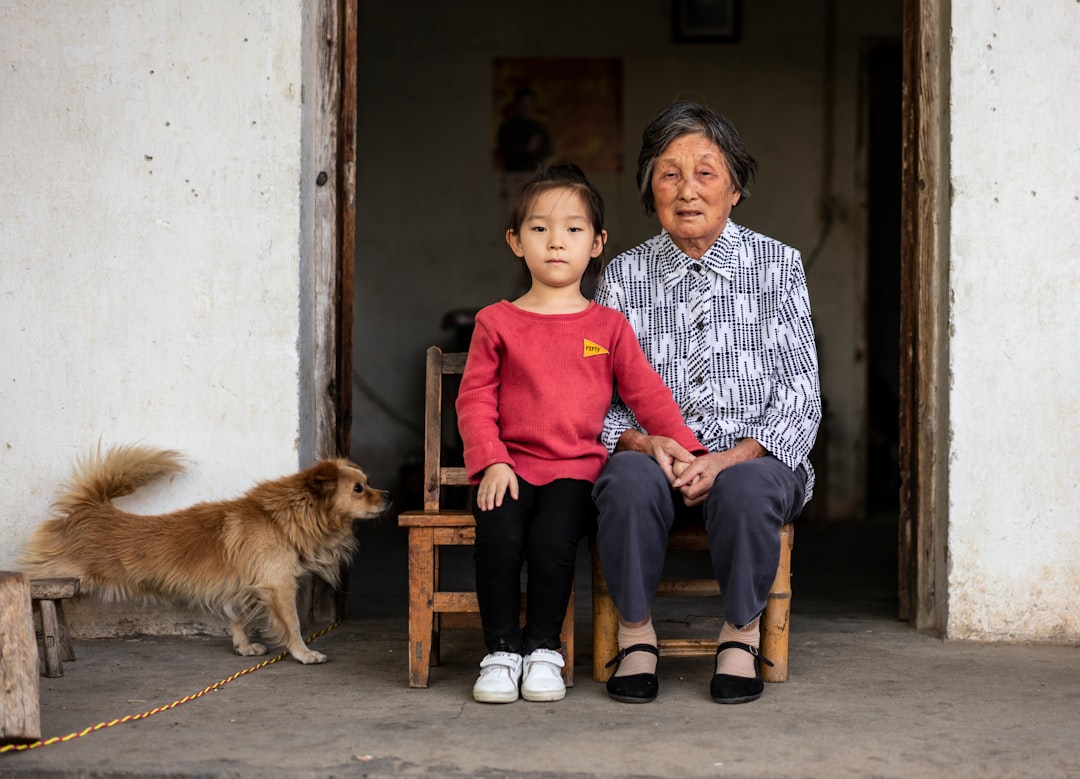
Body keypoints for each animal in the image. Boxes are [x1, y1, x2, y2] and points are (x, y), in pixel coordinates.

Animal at [19, 442, 390, 661]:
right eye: (359, 489)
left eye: (367, 483)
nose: (389, 496)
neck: (282, 517)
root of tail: (89, 509)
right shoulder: (278, 587)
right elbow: (293, 623)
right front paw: (303, 653)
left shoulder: (244, 584)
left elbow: (238, 617)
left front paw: (243, 646)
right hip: (51, 580)